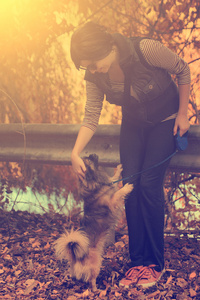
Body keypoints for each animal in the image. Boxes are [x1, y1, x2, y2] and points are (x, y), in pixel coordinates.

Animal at [54, 155, 134, 290]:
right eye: (89, 160)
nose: (93, 154)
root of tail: (76, 257)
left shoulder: (110, 183)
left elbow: (114, 178)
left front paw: (118, 169)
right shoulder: (112, 201)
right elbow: (119, 192)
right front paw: (127, 187)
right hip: (96, 265)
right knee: (91, 280)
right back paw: (97, 289)